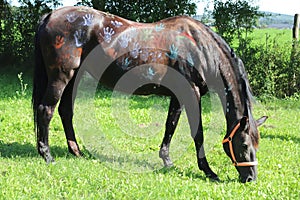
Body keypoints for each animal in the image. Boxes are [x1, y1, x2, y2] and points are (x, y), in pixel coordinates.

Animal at [32, 6, 268, 182]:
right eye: (244, 144)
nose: (250, 178)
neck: (200, 48)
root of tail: (50, 16)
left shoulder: (179, 95)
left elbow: (170, 126)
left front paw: (167, 160)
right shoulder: (191, 92)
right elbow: (198, 133)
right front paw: (209, 171)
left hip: (73, 77)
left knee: (65, 112)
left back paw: (76, 152)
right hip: (61, 76)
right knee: (46, 110)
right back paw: (47, 155)